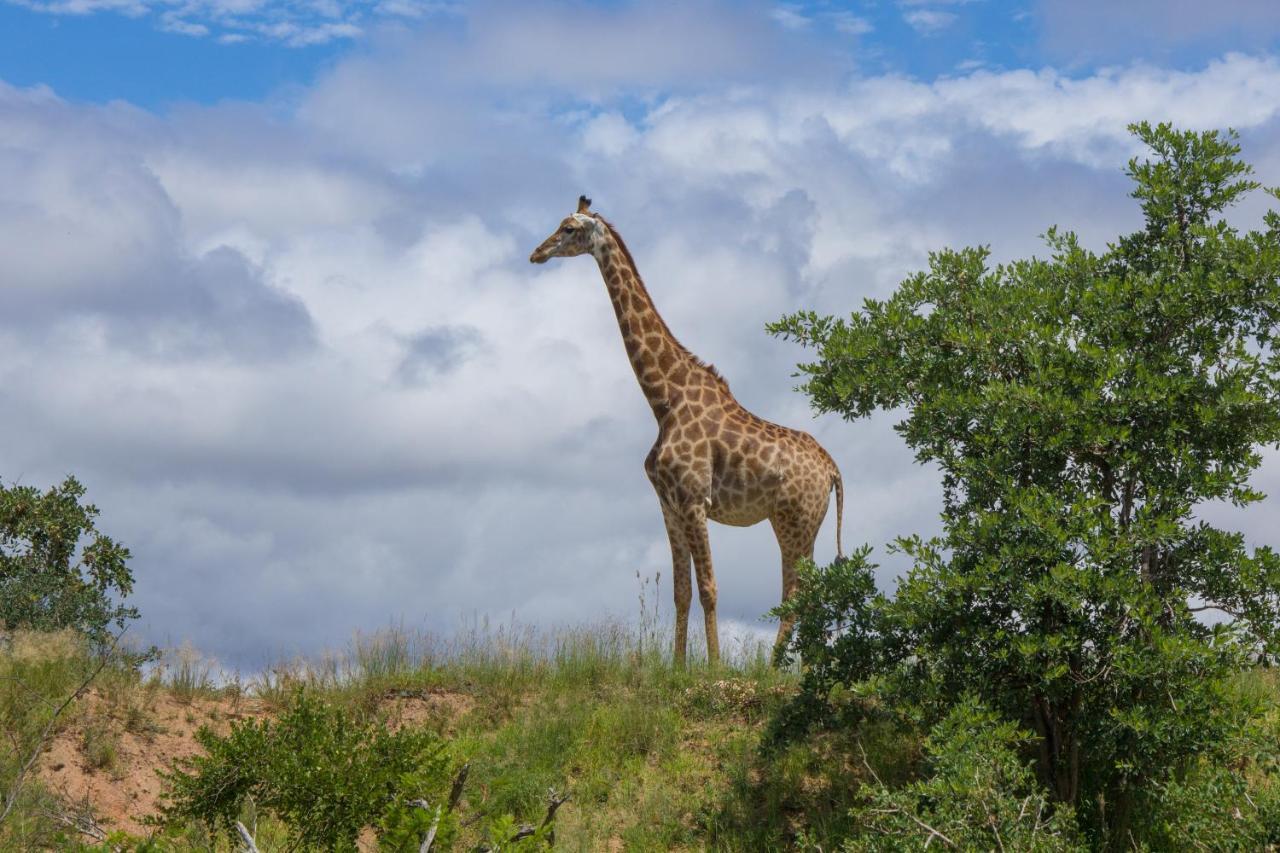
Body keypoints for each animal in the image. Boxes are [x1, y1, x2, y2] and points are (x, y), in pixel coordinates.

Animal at [529, 199, 839, 666]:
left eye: (567, 228)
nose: (537, 253)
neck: (663, 399)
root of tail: (833, 468)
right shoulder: (668, 505)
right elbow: (681, 592)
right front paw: (677, 667)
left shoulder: (695, 500)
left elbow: (709, 588)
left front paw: (712, 666)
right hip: (802, 524)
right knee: (807, 594)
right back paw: (799, 670)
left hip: (794, 521)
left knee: (798, 594)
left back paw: (775, 669)